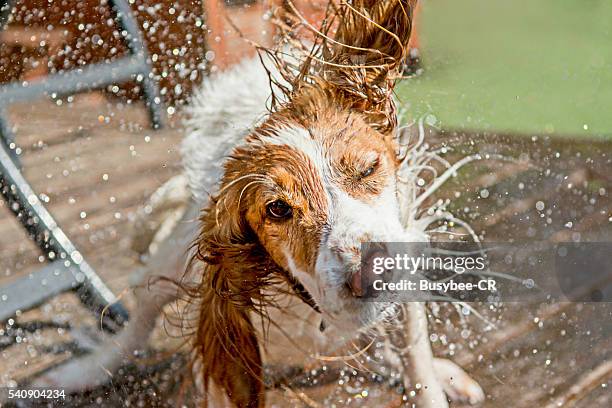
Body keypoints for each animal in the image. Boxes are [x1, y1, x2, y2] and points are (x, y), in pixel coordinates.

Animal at [33, 1, 482, 406]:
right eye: (277, 209)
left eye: (368, 168)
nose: (370, 276)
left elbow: (416, 360)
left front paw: (432, 378)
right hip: (169, 262)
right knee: (138, 319)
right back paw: (84, 372)